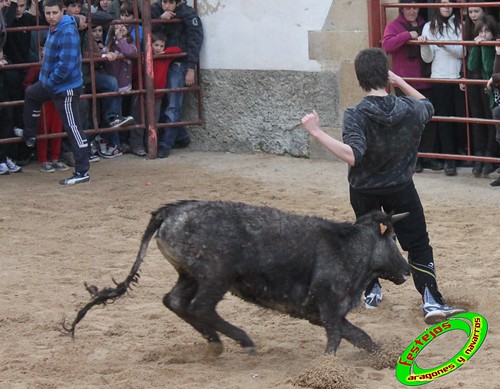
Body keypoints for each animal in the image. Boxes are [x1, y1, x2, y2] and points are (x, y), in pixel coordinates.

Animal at [64, 200, 410, 354]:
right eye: (394, 239)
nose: (408, 271)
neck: (347, 247)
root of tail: (170, 211)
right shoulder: (330, 307)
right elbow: (337, 338)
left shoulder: (325, 313)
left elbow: (361, 337)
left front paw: (385, 358)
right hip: (216, 276)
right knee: (200, 307)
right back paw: (240, 339)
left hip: (190, 274)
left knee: (175, 301)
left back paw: (215, 340)